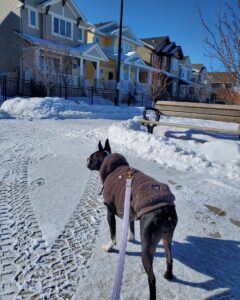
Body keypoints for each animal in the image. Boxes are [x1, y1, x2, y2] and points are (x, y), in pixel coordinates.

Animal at [87, 139, 177, 298]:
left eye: (91, 157)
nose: (86, 160)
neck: (111, 166)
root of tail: (165, 210)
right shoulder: (129, 209)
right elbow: (131, 225)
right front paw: (130, 237)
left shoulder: (110, 211)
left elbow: (113, 234)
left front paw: (110, 247)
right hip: (167, 237)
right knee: (169, 258)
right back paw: (168, 275)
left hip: (147, 245)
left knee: (152, 278)